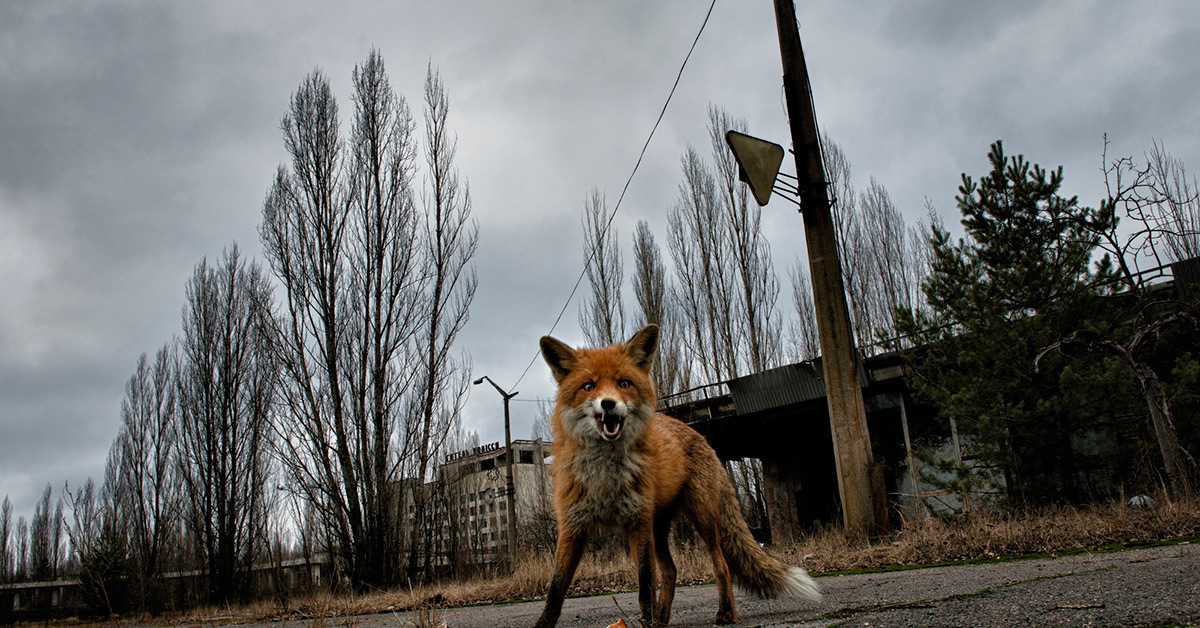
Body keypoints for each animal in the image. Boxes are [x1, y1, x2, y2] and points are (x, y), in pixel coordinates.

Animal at [537, 326, 825, 624]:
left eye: (624, 383)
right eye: (589, 386)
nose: (608, 404)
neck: (606, 476)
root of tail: (701, 436)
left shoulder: (637, 521)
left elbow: (645, 585)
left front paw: (648, 622)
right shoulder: (573, 525)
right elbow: (555, 592)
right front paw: (543, 624)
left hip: (702, 517)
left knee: (721, 565)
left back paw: (725, 612)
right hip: (659, 528)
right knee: (671, 571)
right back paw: (662, 619)